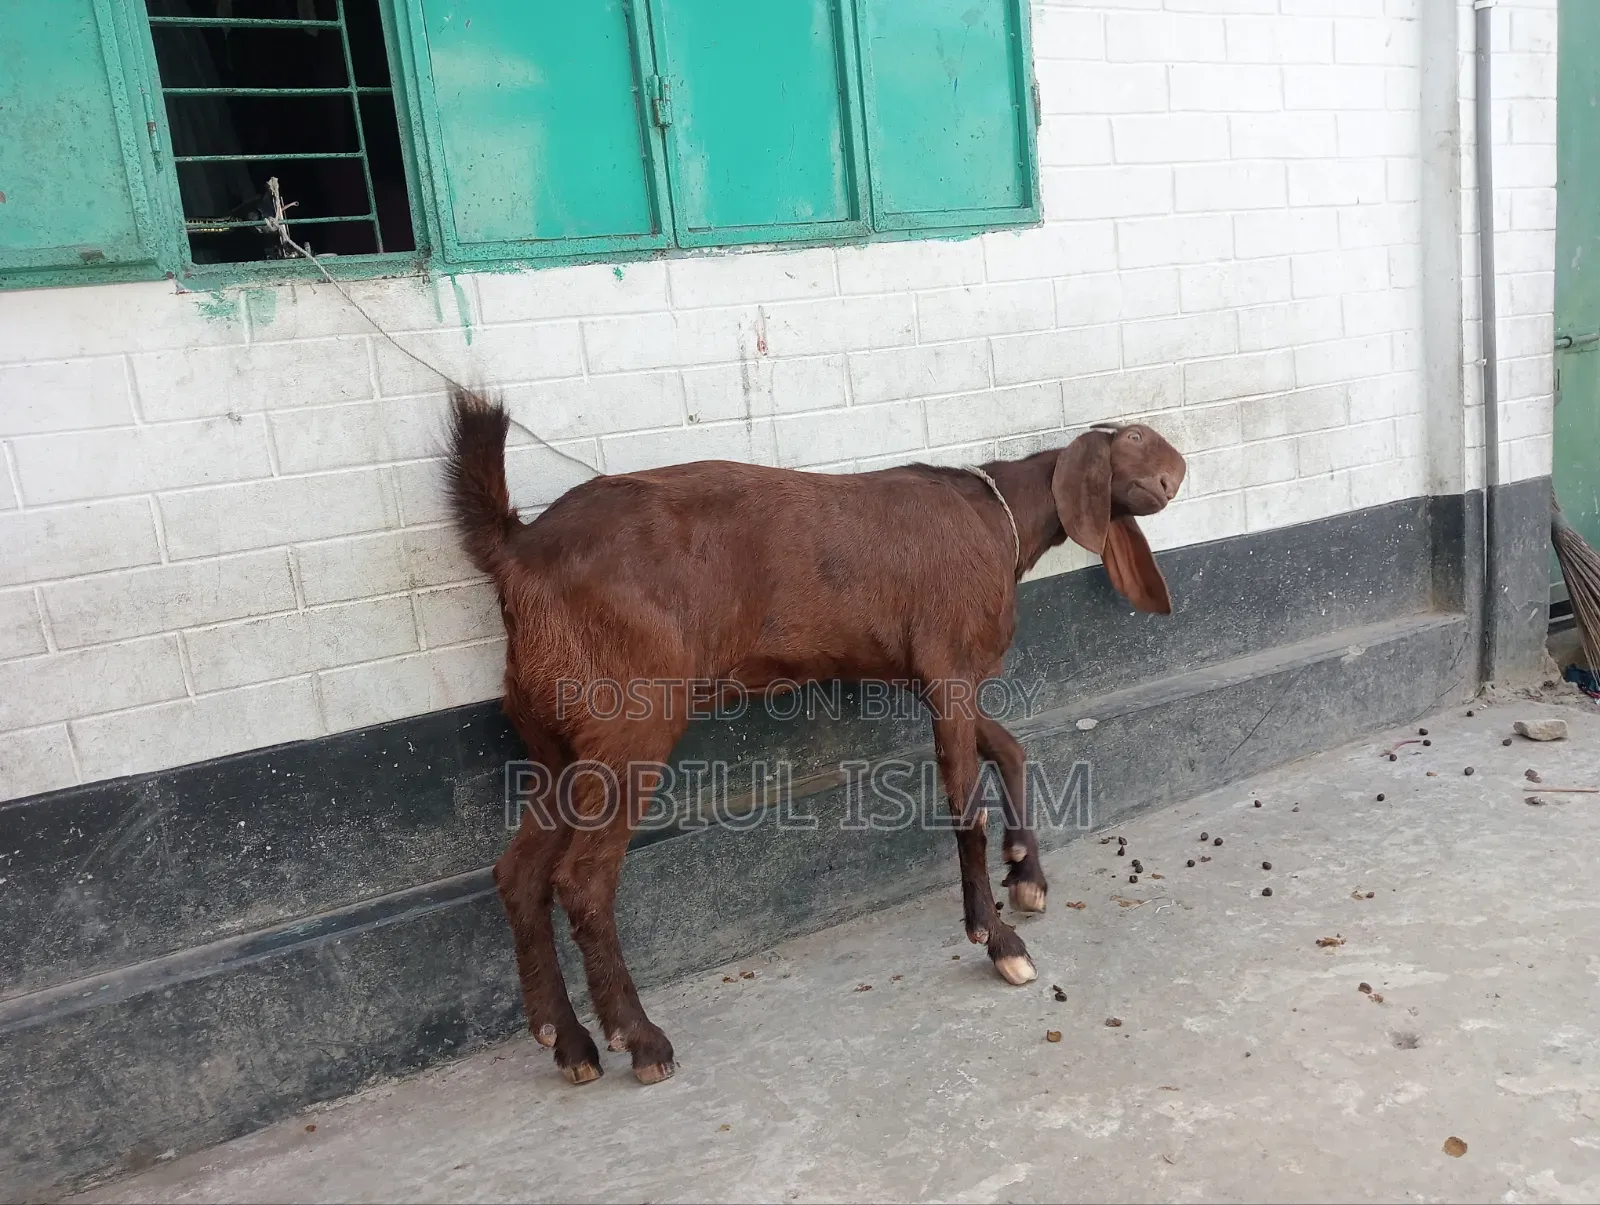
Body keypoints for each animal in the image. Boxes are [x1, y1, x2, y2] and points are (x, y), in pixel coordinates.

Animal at [445, 387, 1186, 1086]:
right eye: (1135, 438)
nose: (1175, 475)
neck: (996, 516)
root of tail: (517, 551)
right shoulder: (947, 666)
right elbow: (965, 807)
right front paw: (997, 938)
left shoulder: (929, 674)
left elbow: (1009, 747)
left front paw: (1027, 873)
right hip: (630, 717)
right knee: (583, 878)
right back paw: (641, 1037)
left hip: (556, 738)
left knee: (519, 873)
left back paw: (568, 1042)